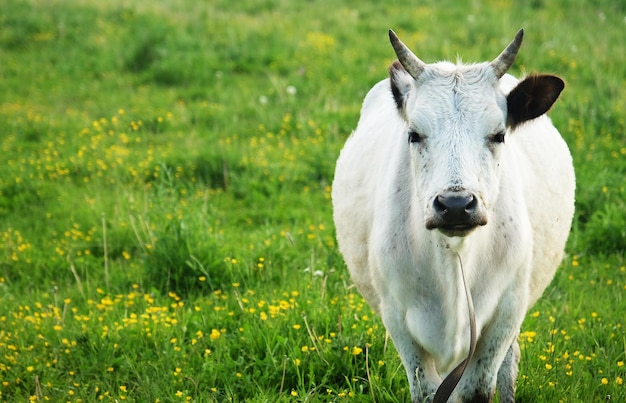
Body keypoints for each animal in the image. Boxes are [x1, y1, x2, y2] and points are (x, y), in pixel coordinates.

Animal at [334, 29, 572, 403]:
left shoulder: (506, 311)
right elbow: (427, 391)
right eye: (414, 134)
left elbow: (477, 389)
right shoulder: (397, 317)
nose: (457, 204)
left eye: (499, 134)